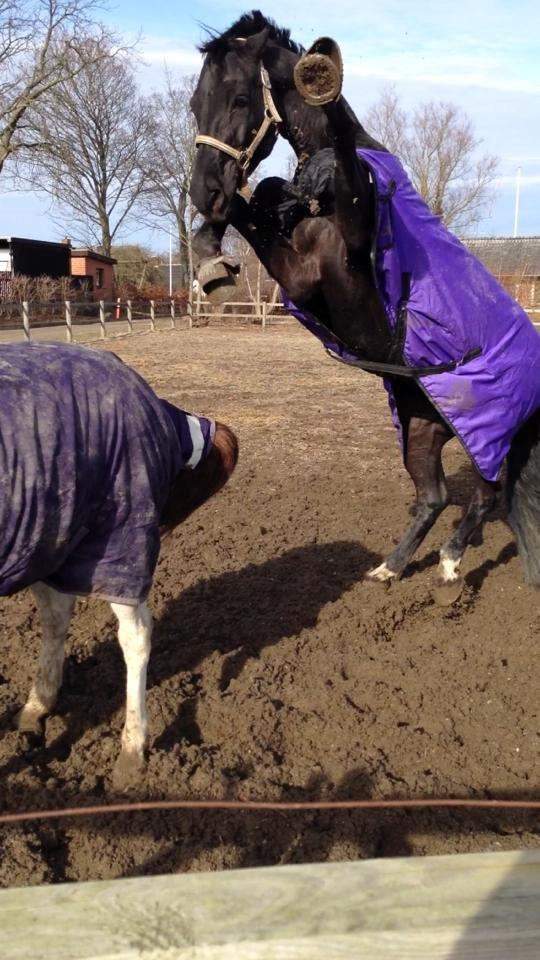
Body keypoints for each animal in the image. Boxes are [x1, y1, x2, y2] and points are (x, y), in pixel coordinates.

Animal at [0, 344, 237, 788]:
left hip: (119, 538)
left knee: (135, 635)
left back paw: (131, 751)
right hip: (47, 537)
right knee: (57, 615)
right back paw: (36, 709)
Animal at [189, 11, 540, 600]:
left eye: (240, 98)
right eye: (195, 104)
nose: (202, 192)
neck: (318, 204)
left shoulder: (317, 262)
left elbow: (316, 170)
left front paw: (324, 78)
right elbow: (250, 201)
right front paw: (211, 255)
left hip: (486, 435)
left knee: (485, 496)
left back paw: (449, 563)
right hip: (420, 428)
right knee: (434, 498)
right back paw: (390, 568)